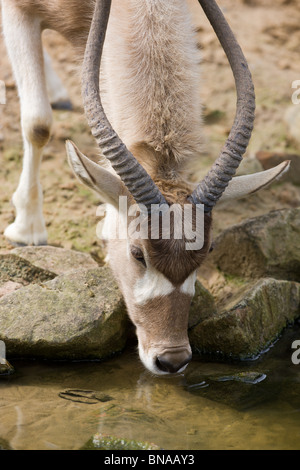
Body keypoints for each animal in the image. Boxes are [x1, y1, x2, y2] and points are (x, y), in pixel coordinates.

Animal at [1, 0, 290, 374]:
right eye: (137, 253)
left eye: (209, 250)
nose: (171, 359)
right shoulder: (17, 11)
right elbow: (38, 124)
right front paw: (26, 229)